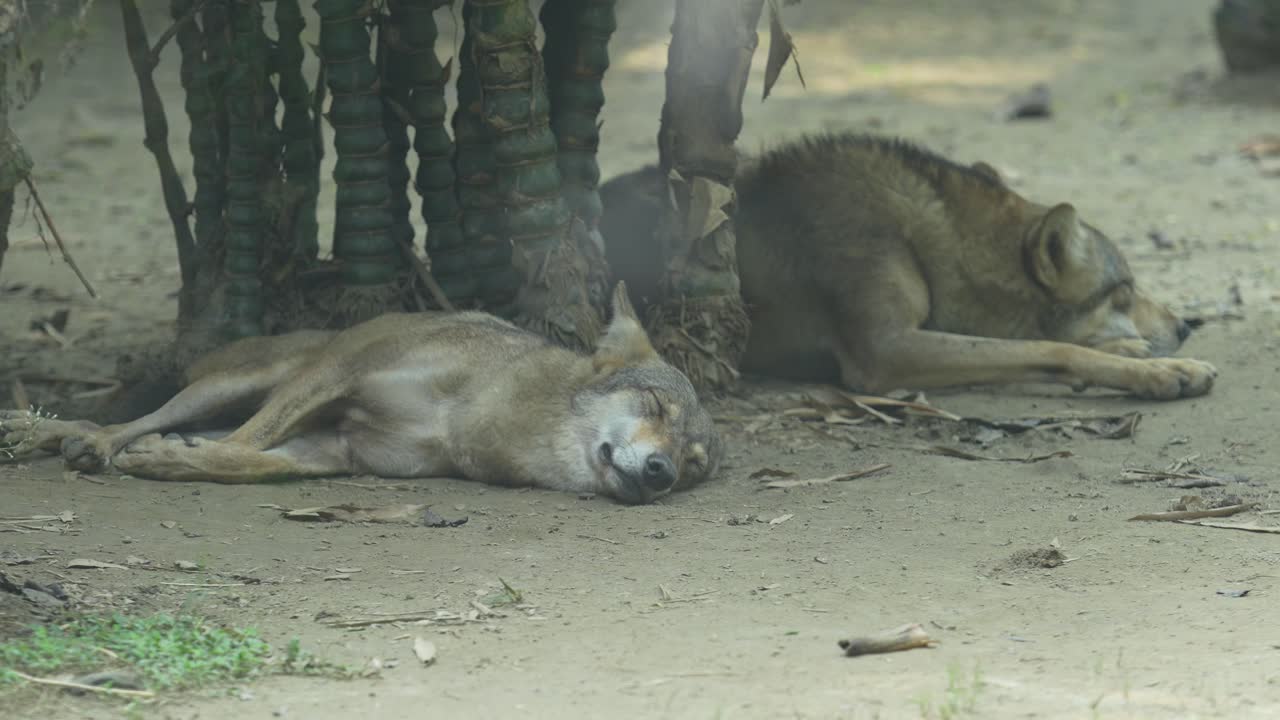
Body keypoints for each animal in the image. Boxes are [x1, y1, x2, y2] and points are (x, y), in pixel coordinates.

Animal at [0, 283, 721, 505]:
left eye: (693, 466)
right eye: (655, 409)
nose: (660, 473)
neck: (478, 412)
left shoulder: (337, 448)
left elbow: (249, 462)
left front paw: (173, 462)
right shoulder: (341, 376)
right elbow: (245, 446)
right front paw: (159, 457)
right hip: (241, 382)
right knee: (124, 420)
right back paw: (65, 436)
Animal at [600, 132, 1217, 400]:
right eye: (1124, 291)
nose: (1188, 326)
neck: (921, 238)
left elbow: (1053, 348)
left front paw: (1141, 353)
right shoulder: (884, 350)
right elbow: (1051, 349)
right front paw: (1160, 371)